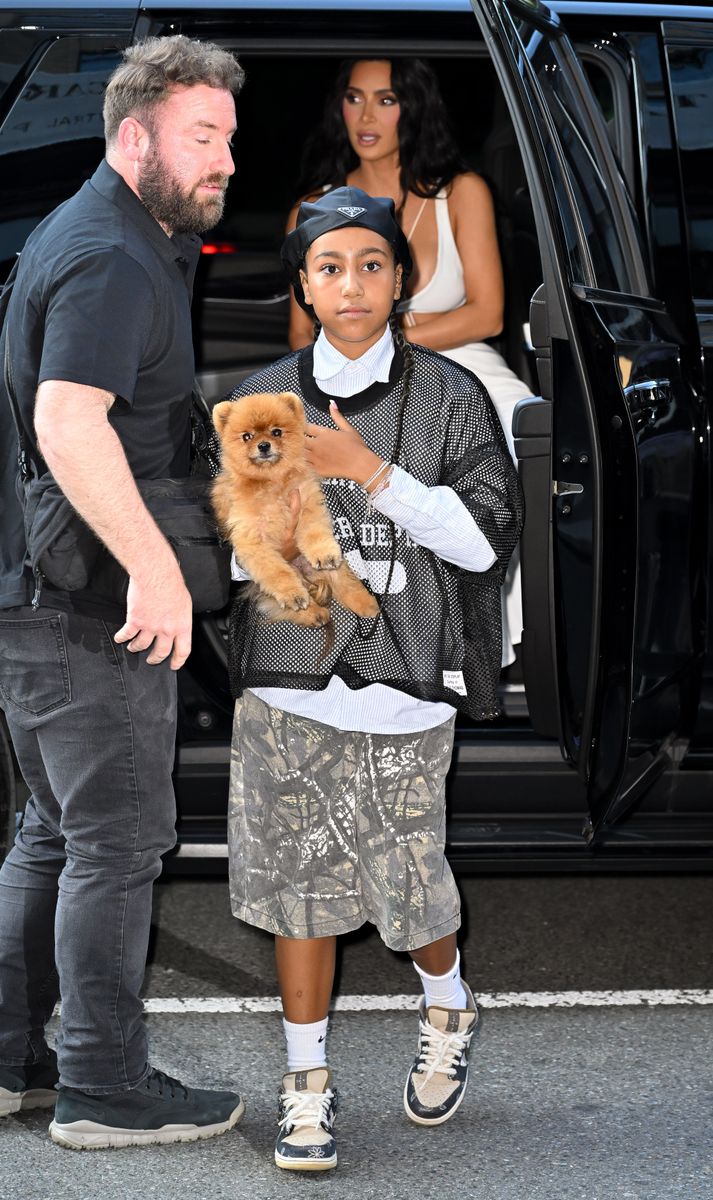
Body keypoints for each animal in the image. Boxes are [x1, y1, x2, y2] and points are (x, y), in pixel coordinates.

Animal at [210, 393, 379, 633]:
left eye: (276, 432)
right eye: (246, 436)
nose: (263, 445)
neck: (272, 482)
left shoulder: (307, 504)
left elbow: (314, 534)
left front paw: (323, 553)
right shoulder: (254, 540)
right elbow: (276, 573)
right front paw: (292, 594)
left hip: (330, 568)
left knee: (344, 580)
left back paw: (366, 604)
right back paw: (314, 613)